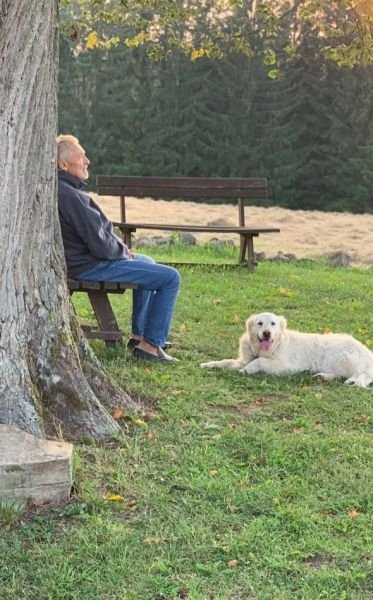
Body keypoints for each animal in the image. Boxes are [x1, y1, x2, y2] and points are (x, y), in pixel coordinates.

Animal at [201, 312, 372, 386]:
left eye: (273, 323)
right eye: (260, 323)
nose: (267, 333)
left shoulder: (285, 366)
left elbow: (259, 361)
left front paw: (247, 370)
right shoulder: (242, 359)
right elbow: (225, 361)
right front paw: (208, 364)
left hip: (342, 357)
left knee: (362, 375)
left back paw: (352, 381)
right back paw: (323, 377)